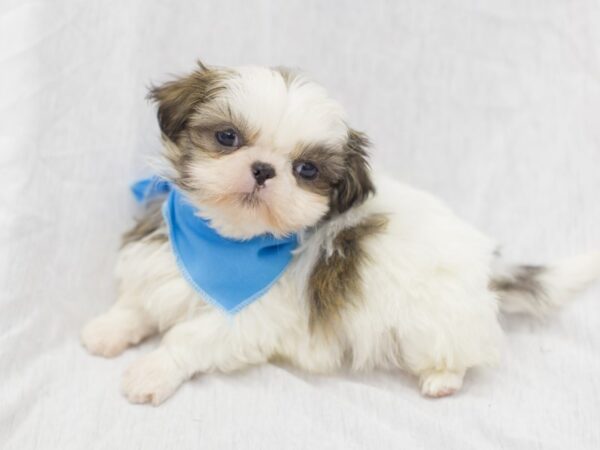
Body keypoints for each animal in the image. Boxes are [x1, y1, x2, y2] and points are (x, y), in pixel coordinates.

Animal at [81, 60, 600, 404]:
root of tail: (486, 266)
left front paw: (150, 371)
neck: (223, 242)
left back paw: (442, 378)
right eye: (227, 137)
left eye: (306, 170)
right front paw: (108, 330)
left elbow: (189, 339)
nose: (263, 169)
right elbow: (139, 301)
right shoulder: (160, 263)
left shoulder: (250, 317)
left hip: (433, 317)